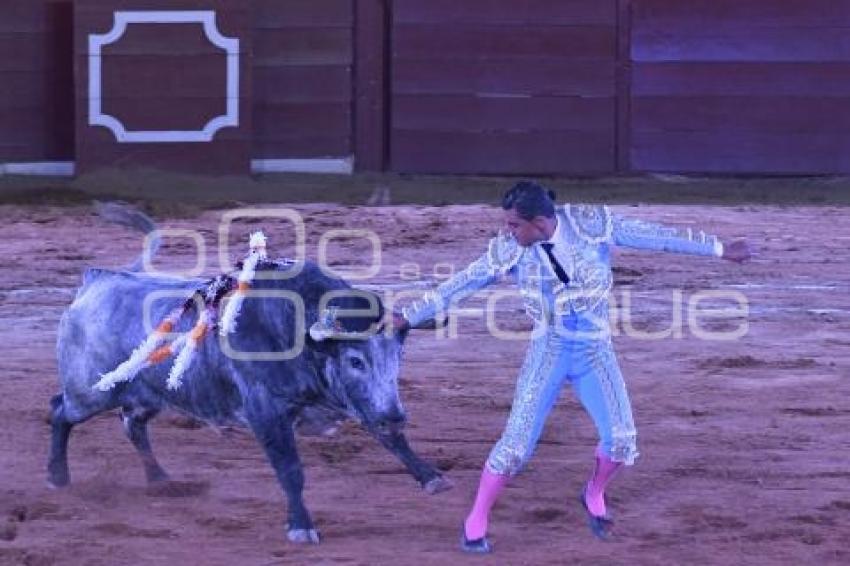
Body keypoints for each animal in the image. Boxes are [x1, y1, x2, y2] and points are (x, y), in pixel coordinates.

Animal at [47, 205, 448, 544]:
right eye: (355, 361)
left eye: (398, 356)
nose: (396, 414)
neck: (297, 331)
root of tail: (97, 280)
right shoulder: (265, 411)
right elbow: (290, 468)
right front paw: (301, 526)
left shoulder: (361, 401)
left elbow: (390, 438)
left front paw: (430, 477)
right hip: (91, 393)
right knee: (60, 411)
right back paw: (58, 478)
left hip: (151, 394)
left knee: (132, 424)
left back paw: (159, 480)